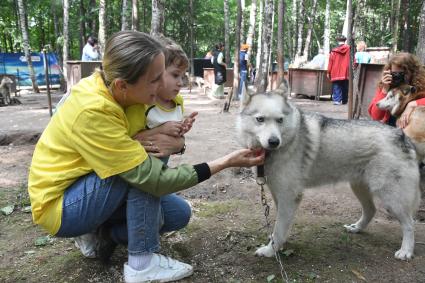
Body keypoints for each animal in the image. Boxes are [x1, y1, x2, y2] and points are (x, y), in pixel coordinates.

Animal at [237, 82, 420, 262]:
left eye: (280, 120)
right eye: (260, 119)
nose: (274, 141)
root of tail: (402, 135)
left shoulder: (289, 197)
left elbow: (279, 228)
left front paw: (270, 250)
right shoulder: (279, 195)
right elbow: (281, 226)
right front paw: (279, 244)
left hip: (391, 199)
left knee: (410, 224)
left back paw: (406, 251)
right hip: (359, 188)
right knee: (371, 210)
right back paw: (357, 228)